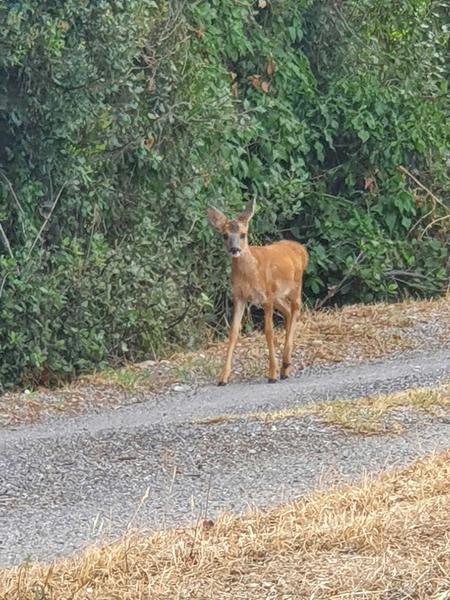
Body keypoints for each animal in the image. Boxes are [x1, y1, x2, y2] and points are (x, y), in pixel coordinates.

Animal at [208, 199, 310, 386]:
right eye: (224, 235)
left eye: (243, 234)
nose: (234, 249)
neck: (249, 274)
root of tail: (301, 250)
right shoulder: (239, 296)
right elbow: (233, 332)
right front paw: (223, 377)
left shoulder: (266, 296)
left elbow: (268, 332)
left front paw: (271, 374)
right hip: (278, 296)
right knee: (287, 311)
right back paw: (285, 368)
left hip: (295, 286)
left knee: (296, 309)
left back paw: (285, 362)